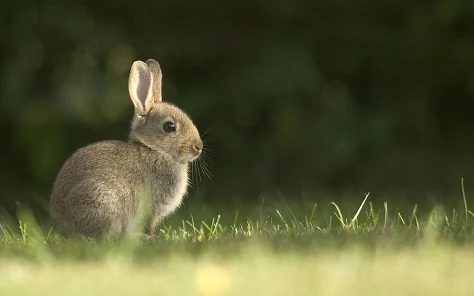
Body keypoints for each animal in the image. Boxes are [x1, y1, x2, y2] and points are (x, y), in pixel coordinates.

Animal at [49, 59, 203, 239]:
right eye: (169, 127)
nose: (198, 147)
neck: (154, 149)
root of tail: (61, 224)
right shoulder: (152, 208)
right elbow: (148, 225)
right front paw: (151, 238)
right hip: (103, 200)